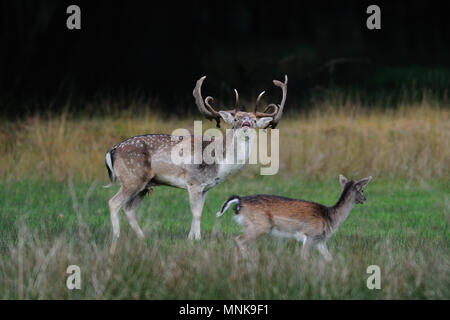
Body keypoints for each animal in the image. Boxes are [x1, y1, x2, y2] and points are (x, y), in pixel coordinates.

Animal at [104, 75, 288, 252]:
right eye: (236, 119)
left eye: (255, 120)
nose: (246, 123)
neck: (218, 164)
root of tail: (112, 151)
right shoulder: (194, 181)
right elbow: (196, 213)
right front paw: (197, 239)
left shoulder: (206, 187)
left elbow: (198, 211)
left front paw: (191, 239)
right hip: (132, 177)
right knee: (113, 202)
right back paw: (116, 239)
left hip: (145, 184)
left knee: (129, 209)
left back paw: (143, 239)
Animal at [217, 175, 372, 260]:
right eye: (362, 190)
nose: (365, 199)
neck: (330, 218)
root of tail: (239, 202)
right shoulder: (310, 234)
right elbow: (304, 257)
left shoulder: (320, 241)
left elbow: (329, 258)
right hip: (260, 225)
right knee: (239, 240)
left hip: (249, 225)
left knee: (238, 241)